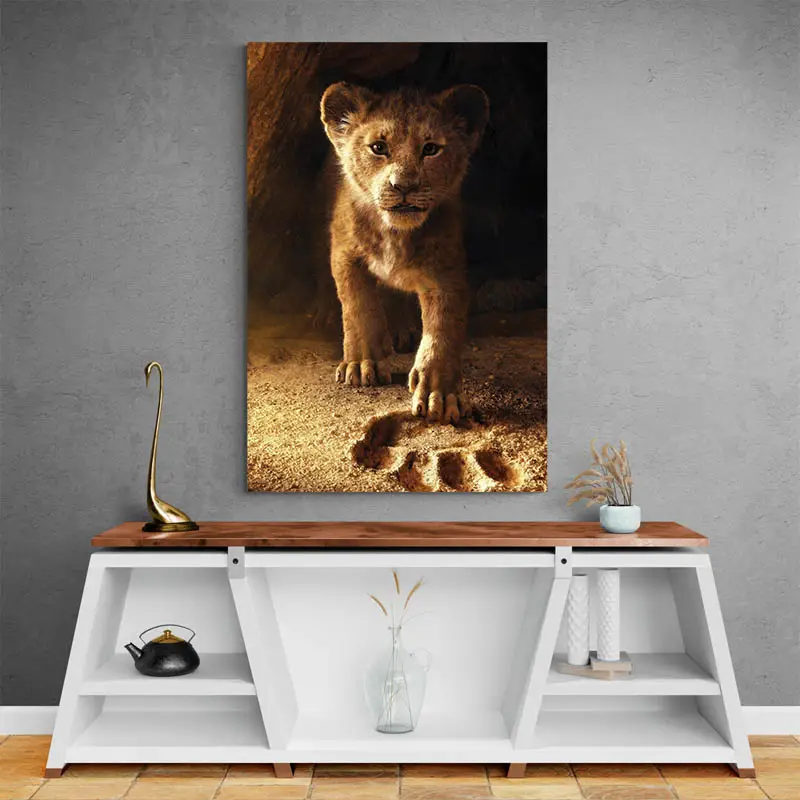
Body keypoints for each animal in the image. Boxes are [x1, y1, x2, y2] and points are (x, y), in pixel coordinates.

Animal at [320, 82, 489, 423]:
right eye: (378, 147)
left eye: (431, 149)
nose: (404, 186)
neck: (395, 233)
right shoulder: (344, 252)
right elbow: (358, 306)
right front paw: (362, 364)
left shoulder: (446, 271)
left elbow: (443, 329)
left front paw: (440, 394)